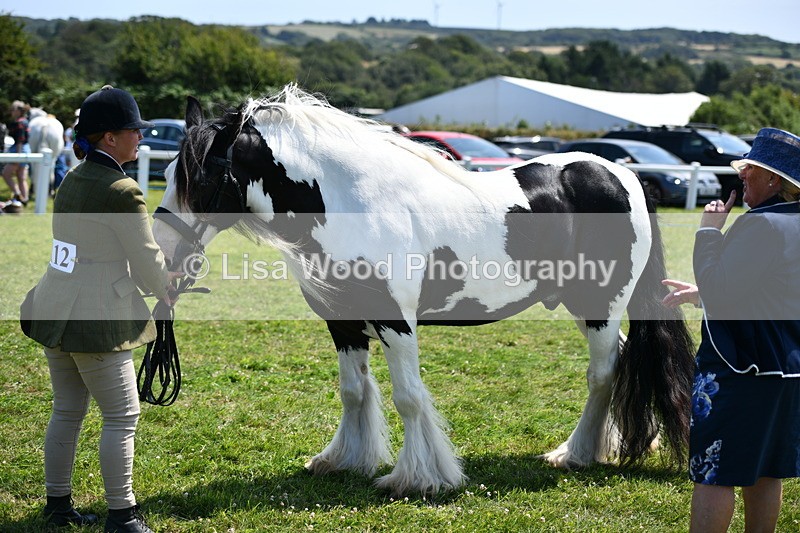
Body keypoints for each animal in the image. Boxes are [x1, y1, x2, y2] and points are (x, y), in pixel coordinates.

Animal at [152, 85, 695, 496]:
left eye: (201, 177)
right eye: (168, 173)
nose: (160, 251)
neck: (354, 203)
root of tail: (625, 175)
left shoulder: (396, 321)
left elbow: (409, 397)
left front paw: (416, 478)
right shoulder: (342, 322)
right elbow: (353, 391)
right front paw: (344, 460)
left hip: (602, 304)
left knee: (601, 374)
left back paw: (575, 454)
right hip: (582, 306)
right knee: (620, 361)